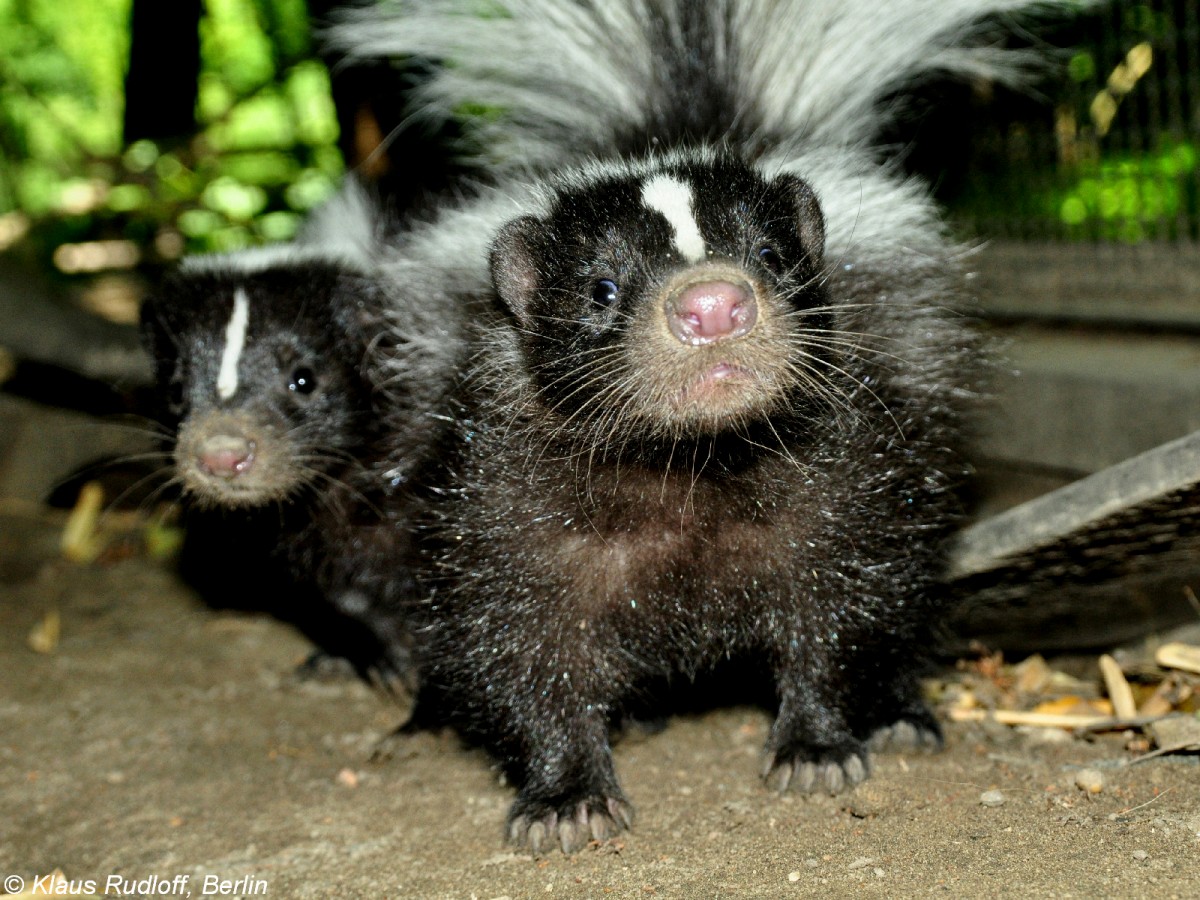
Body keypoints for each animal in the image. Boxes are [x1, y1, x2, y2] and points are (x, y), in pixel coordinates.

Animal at [328, 0, 1089, 854]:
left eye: (771, 254)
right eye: (601, 288)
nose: (715, 304)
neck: (691, 462)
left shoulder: (843, 468)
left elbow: (840, 608)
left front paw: (818, 747)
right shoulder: (508, 496)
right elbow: (521, 642)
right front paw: (565, 797)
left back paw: (899, 715)